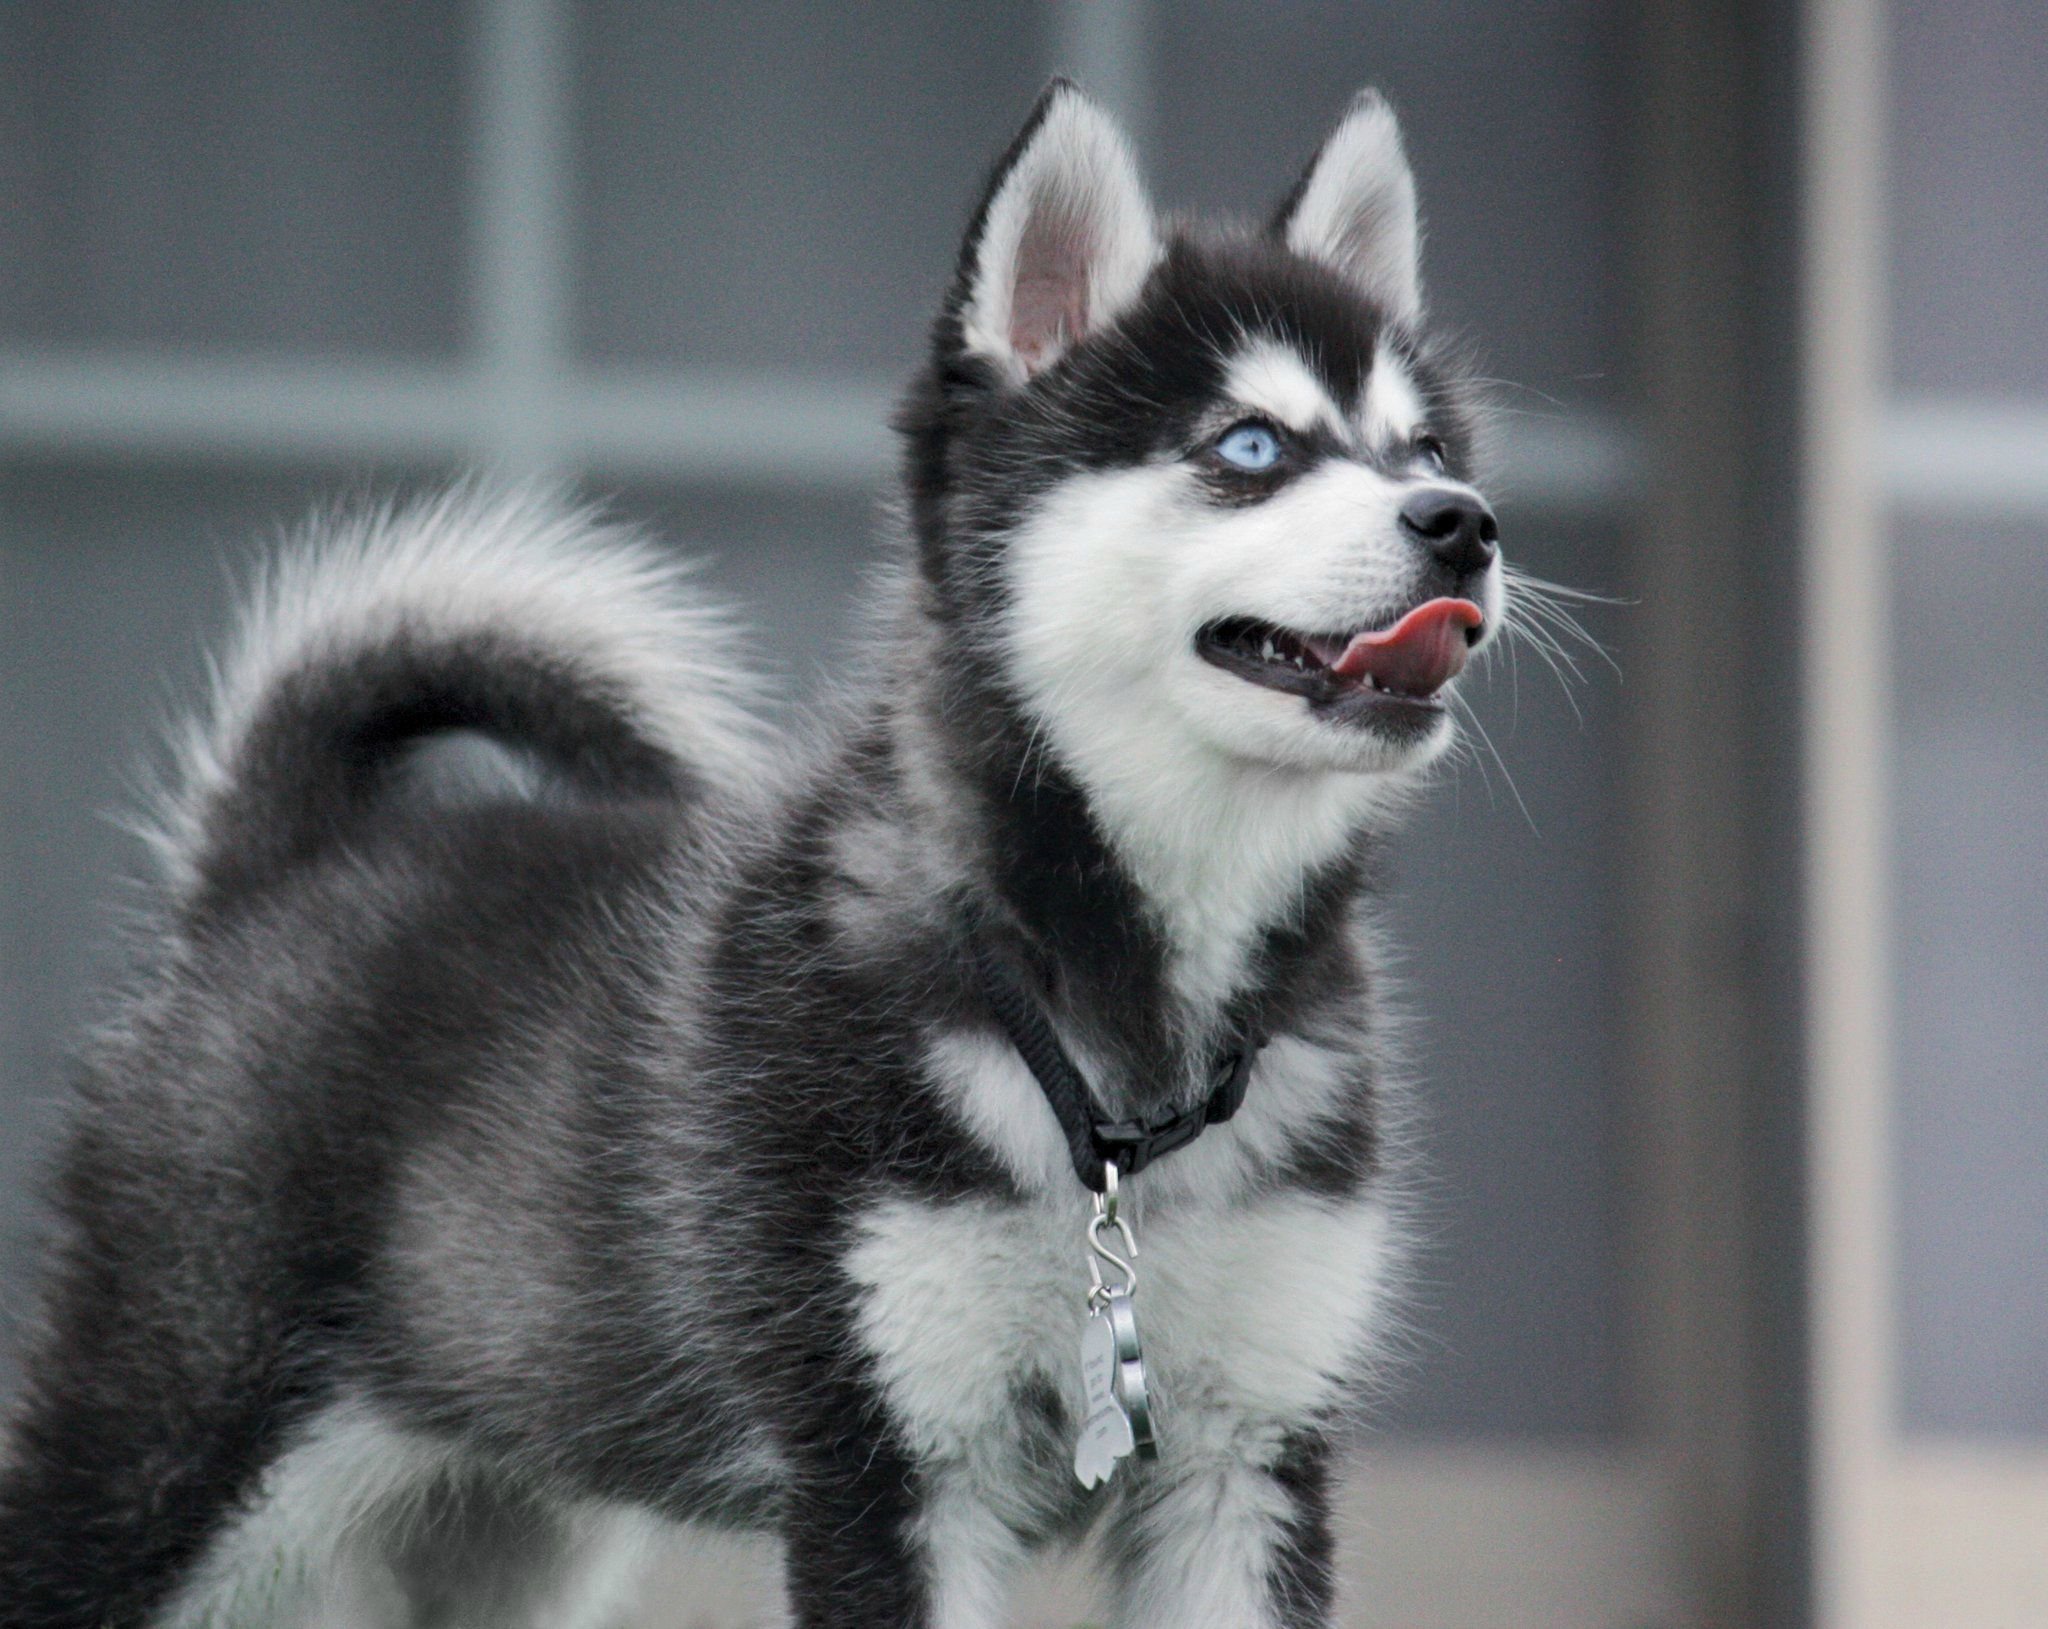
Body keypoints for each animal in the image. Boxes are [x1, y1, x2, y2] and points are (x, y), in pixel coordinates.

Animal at [0, 79, 1507, 1629]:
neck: (1113, 1049)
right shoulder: (885, 1471)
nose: (1466, 527)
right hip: (163, 1456)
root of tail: (285, 867)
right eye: (1250, 447)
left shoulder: (1245, 1461)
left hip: (501, 1538)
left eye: (1426, 454)